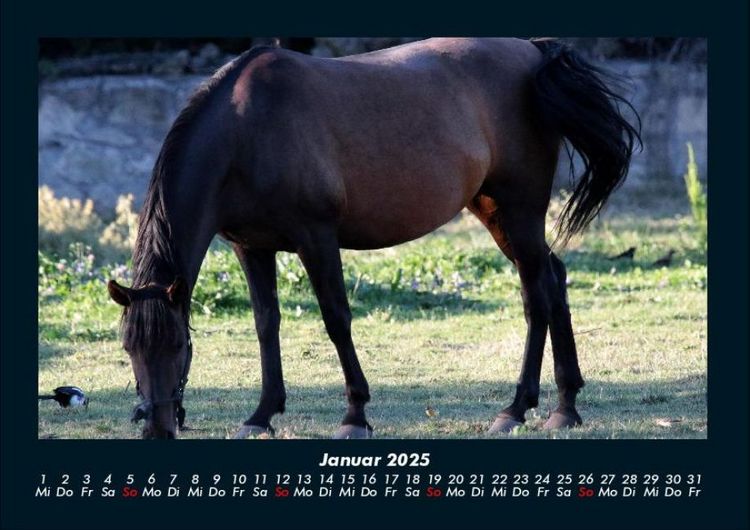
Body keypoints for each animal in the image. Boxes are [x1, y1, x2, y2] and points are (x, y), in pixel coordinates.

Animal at [107, 38, 640, 439]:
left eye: (179, 345)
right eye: (129, 348)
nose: (157, 428)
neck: (247, 131)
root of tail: (532, 51)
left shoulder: (316, 238)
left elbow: (336, 320)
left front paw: (355, 416)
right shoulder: (251, 247)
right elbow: (265, 323)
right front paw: (261, 415)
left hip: (520, 209)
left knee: (536, 294)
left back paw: (519, 408)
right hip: (494, 211)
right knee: (553, 277)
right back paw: (562, 407)